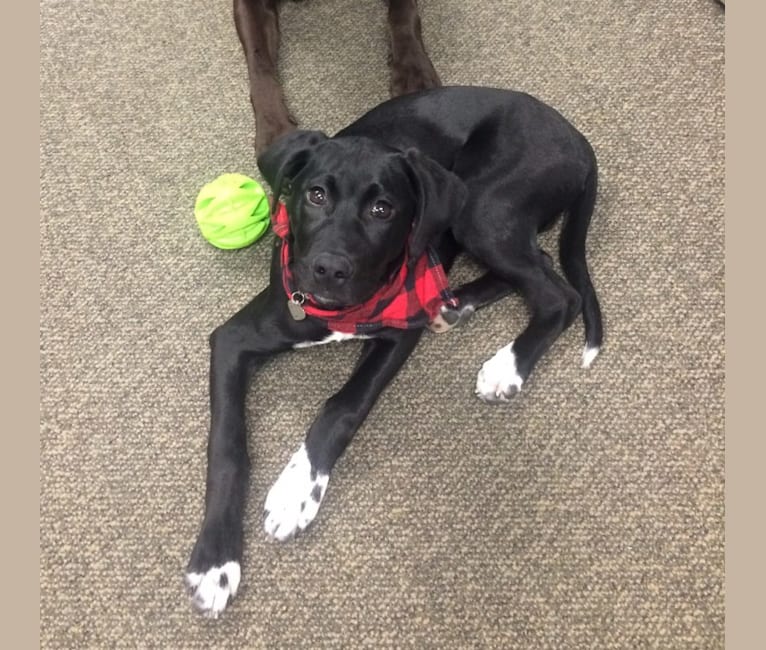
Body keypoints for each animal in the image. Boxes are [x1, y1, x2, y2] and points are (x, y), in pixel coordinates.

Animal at [186, 85, 608, 612]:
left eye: (383, 209)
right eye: (315, 195)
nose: (328, 269)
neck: (340, 312)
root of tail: (577, 139)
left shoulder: (399, 334)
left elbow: (342, 406)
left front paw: (297, 490)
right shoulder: (235, 339)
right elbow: (227, 447)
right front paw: (215, 560)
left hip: (482, 208)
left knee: (559, 295)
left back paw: (506, 368)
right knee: (542, 265)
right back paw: (454, 305)